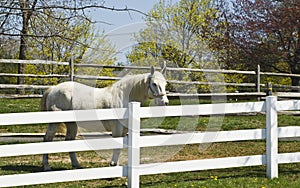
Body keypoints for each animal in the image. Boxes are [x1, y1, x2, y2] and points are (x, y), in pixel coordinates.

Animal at [39, 65, 169, 171]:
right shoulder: (117, 128)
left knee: (69, 140)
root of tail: (53, 89)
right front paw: (113, 165)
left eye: (165, 84)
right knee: (47, 139)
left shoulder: (124, 129)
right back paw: (46, 166)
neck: (124, 97)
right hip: (54, 123)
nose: (165, 102)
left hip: (72, 124)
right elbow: (117, 146)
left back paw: (76, 165)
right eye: (154, 84)